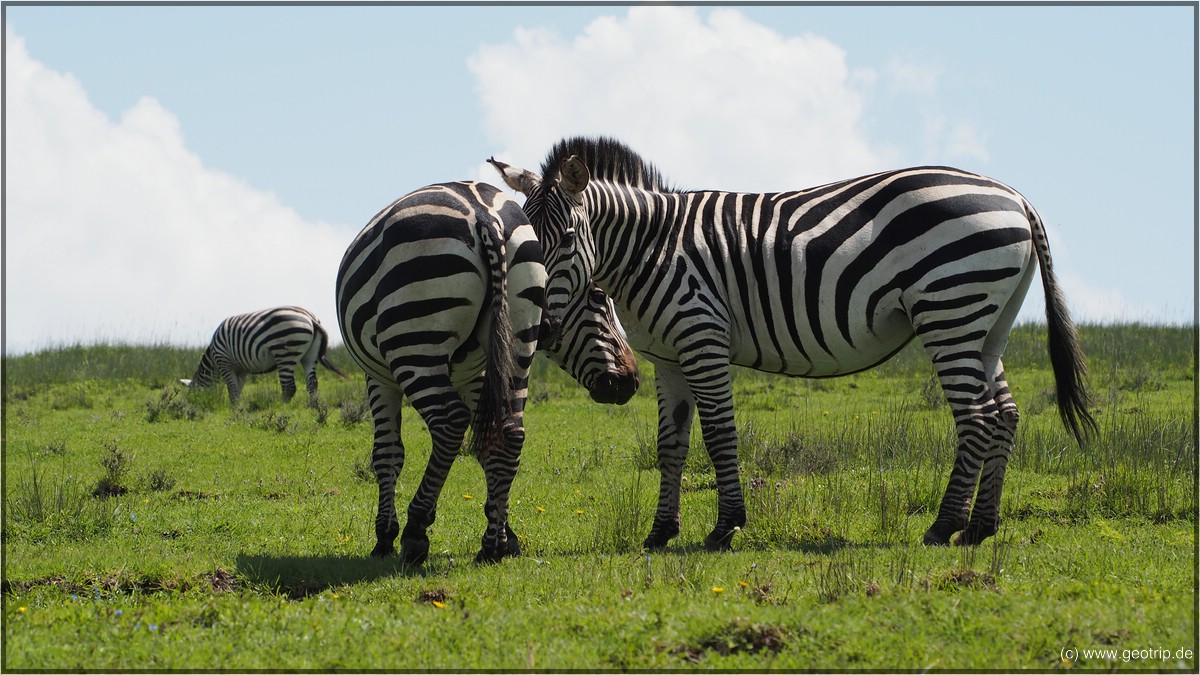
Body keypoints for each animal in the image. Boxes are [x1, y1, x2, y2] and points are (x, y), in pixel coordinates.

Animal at [182, 305, 350, 403]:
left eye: (193, 396)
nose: (190, 407)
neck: (212, 360)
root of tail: (311, 318)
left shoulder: (224, 362)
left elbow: (232, 388)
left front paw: (234, 408)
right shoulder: (241, 369)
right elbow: (238, 388)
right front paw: (238, 406)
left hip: (285, 353)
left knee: (289, 387)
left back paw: (280, 406)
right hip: (310, 356)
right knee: (312, 383)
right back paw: (313, 407)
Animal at [336, 178, 638, 562]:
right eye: (599, 299)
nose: (630, 382)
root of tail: (484, 215)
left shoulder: (378, 376)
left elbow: (388, 453)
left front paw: (384, 536)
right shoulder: (477, 373)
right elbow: (485, 445)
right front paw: (506, 534)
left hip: (416, 338)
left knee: (450, 424)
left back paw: (417, 530)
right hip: (517, 335)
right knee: (511, 433)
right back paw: (491, 547)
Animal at [487, 135, 1099, 547]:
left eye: (568, 238)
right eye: (528, 239)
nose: (541, 328)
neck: (652, 248)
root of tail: (1015, 196)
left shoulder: (702, 337)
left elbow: (720, 435)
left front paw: (725, 528)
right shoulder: (668, 358)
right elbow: (671, 445)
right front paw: (661, 533)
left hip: (950, 309)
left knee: (976, 417)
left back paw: (943, 526)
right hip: (987, 322)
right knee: (1005, 414)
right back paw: (980, 527)